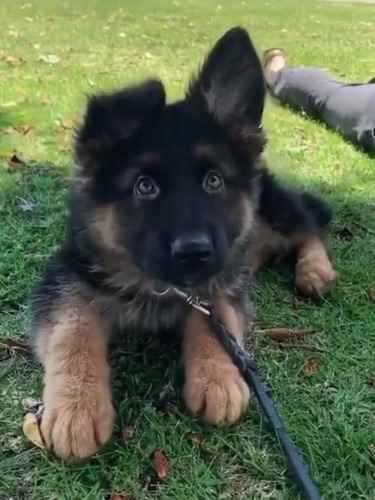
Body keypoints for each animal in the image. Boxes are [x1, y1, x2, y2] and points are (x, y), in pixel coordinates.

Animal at [30, 26, 336, 458]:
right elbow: (71, 329)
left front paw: (218, 378)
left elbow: (215, 314)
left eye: (214, 180)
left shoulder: (218, 281)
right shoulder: (66, 274)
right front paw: (77, 406)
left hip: (272, 209)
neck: (157, 286)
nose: (194, 252)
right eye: (144, 186)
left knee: (309, 227)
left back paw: (315, 270)